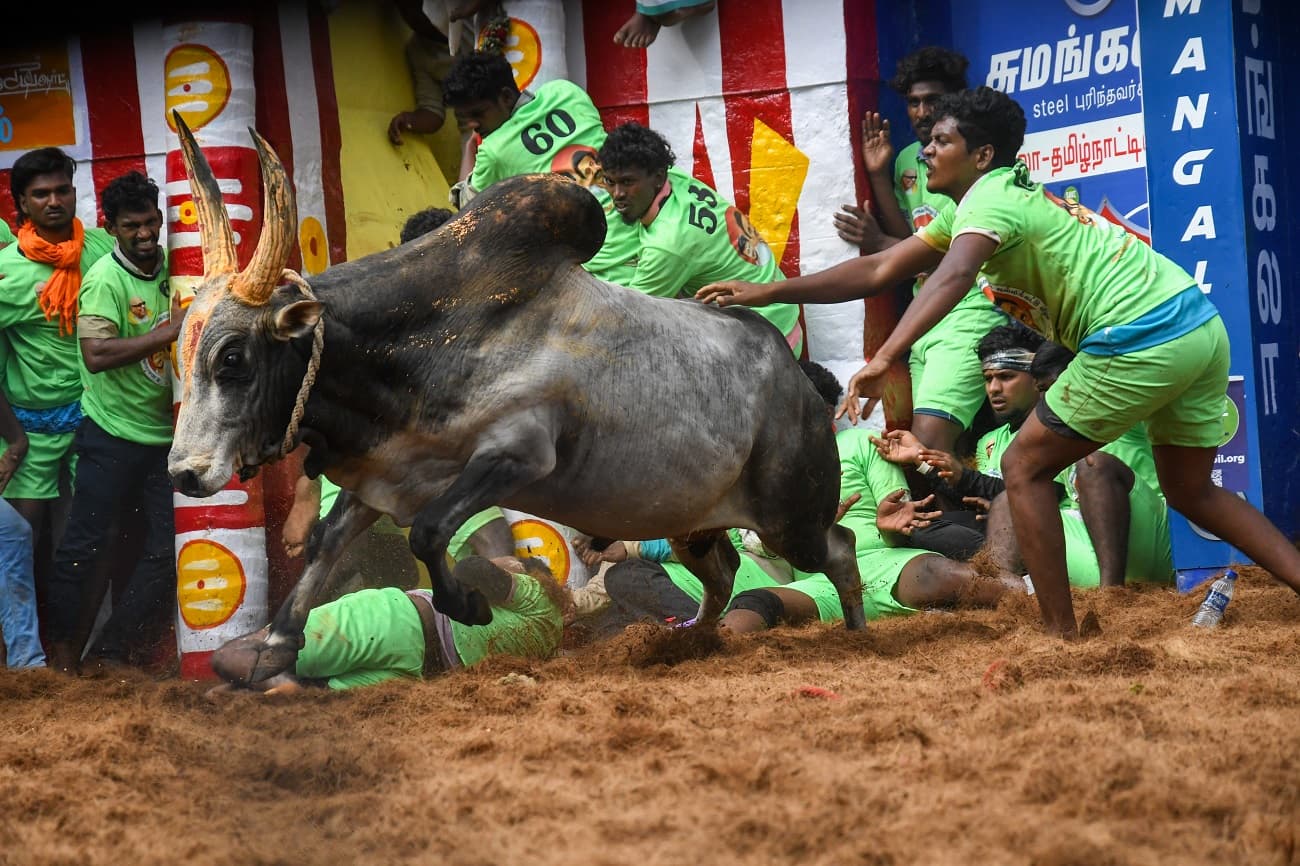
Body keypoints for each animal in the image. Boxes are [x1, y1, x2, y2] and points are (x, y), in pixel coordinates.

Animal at [167, 116, 868, 681]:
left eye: (233, 358)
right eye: (182, 352)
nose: (184, 473)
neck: (417, 342)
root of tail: (793, 376)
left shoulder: (516, 457)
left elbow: (429, 533)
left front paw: (469, 605)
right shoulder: (382, 476)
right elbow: (324, 544)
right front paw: (275, 643)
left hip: (789, 517)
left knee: (836, 548)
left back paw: (860, 637)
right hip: (691, 522)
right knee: (722, 570)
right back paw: (690, 641)